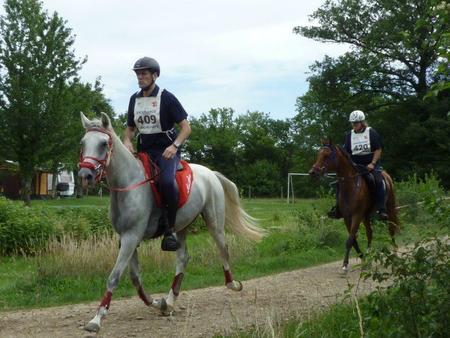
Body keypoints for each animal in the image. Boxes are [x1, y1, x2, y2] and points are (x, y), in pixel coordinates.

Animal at [77, 112, 264, 332]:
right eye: (83, 143)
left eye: (104, 143)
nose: (85, 175)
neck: (129, 183)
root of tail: (211, 173)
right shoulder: (125, 239)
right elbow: (135, 278)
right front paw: (159, 303)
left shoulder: (132, 236)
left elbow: (114, 277)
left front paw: (96, 319)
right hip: (181, 226)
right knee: (183, 258)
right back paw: (171, 300)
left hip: (214, 222)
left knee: (223, 250)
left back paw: (232, 284)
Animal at [308, 141, 400, 272]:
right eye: (318, 154)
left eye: (326, 155)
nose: (312, 172)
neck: (350, 186)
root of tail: (386, 174)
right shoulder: (347, 217)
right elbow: (353, 240)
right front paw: (363, 258)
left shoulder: (356, 215)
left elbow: (350, 239)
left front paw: (345, 265)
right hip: (366, 216)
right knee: (370, 233)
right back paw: (369, 256)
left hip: (389, 210)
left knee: (391, 229)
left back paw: (395, 254)